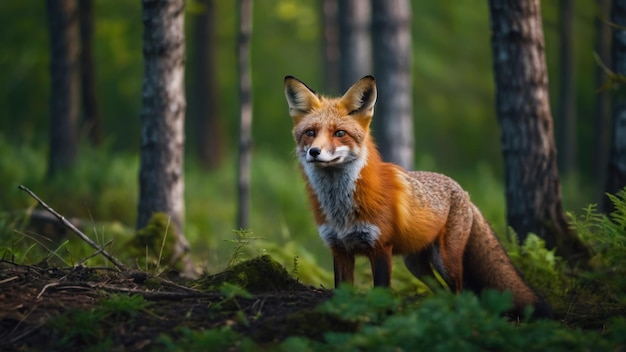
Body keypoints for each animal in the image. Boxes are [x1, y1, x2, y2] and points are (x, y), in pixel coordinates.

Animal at [282, 75, 552, 320]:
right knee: (442, 291)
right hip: (417, 265)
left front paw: (383, 320)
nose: (314, 152)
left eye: (339, 133)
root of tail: (463, 190)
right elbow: (342, 293)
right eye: (310, 132)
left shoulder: (380, 248)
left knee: (459, 291)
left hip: (445, 261)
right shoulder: (339, 249)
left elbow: (382, 292)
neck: (341, 209)